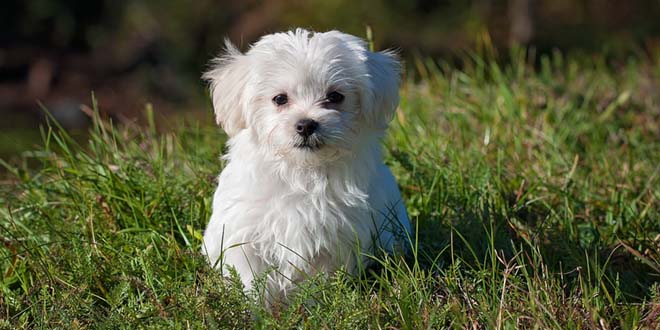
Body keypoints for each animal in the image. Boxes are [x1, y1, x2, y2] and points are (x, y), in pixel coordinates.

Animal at [201, 29, 410, 302]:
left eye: (335, 96)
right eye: (280, 99)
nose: (306, 124)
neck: (302, 171)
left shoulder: (334, 240)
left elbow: (319, 281)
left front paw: (315, 304)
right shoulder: (244, 235)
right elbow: (251, 278)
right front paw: (256, 307)